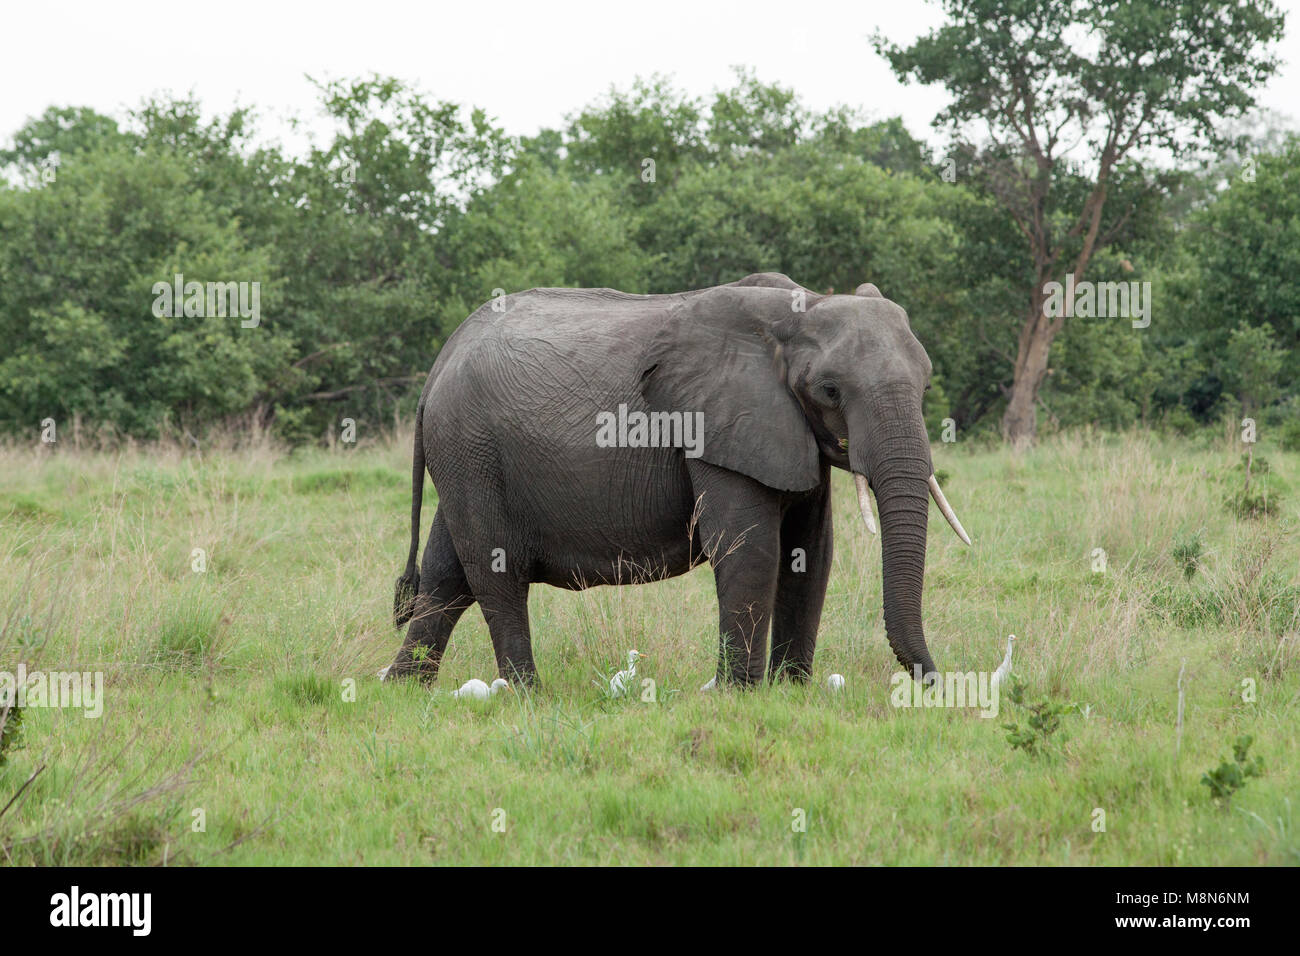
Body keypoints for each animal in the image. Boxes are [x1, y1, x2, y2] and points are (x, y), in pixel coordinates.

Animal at [390, 270, 972, 686]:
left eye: (926, 386)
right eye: (830, 390)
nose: (934, 683)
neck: (801, 306)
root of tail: (439, 362)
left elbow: (811, 550)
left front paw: (793, 691)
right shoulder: (717, 421)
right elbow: (750, 546)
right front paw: (741, 693)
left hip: (467, 456)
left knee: (446, 570)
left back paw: (403, 687)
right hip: (471, 446)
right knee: (495, 569)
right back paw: (525, 692)